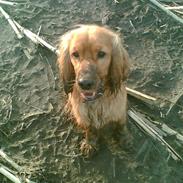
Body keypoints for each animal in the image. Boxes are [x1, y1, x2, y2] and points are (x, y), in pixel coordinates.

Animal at [57, 24, 130, 156]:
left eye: (101, 54)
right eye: (75, 54)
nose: (84, 83)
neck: (97, 100)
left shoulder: (119, 111)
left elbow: (121, 125)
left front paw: (124, 138)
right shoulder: (84, 118)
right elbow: (89, 130)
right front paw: (89, 143)